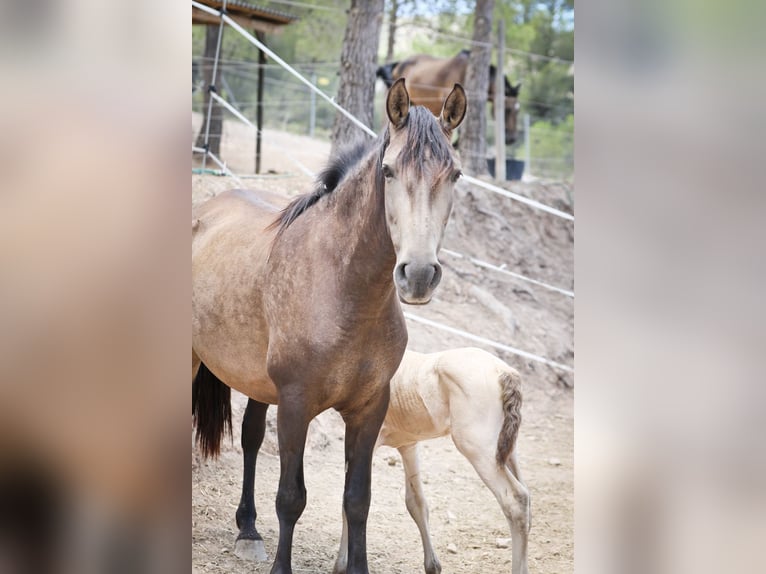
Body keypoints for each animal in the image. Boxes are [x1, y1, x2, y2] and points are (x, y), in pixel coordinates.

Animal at [192, 80, 468, 574]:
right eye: (389, 171)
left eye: (454, 174)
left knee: (250, 438)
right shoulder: (295, 405)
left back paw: (248, 530)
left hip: (258, 384)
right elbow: (290, 497)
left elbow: (357, 499)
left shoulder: (369, 409)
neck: (344, 292)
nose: (418, 274)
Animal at [332, 346, 532, 574]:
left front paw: (341, 565)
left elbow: (349, 498)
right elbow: (416, 502)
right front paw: (432, 565)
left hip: (479, 451)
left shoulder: (367, 442)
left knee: (515, 499)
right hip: (507, 452)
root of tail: (504, 372)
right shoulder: (408, 446)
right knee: (527, 502)